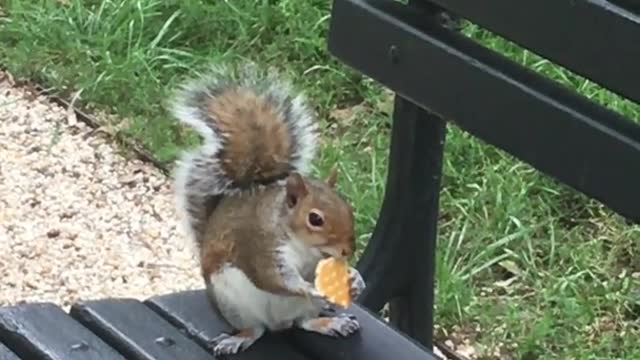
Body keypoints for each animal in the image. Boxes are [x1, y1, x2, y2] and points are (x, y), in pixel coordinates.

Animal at [169, 64, 364, 354]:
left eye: (348, 207)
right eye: (315, 219)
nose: (347, 250)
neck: (304, 247)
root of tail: (278, 324)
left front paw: (355, 278)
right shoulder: (260, 247)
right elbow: (276, 279)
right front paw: (311, 286)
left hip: (302, 310)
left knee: (304, 322)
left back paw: (331, 323)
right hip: (234, 303)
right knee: (256, 329)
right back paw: (239, 338)